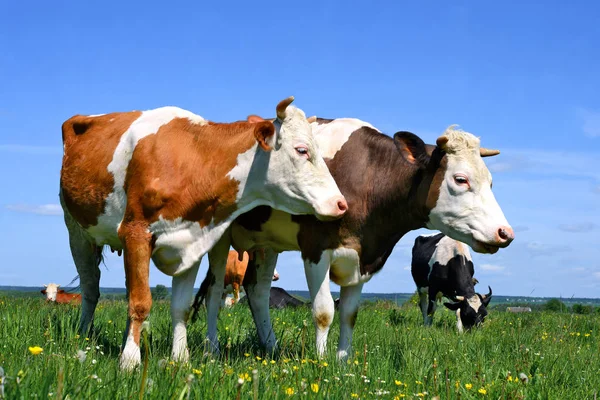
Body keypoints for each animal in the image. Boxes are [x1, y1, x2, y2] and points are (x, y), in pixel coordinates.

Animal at [58, 97, 350, 368]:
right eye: (302, 150)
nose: (341, 203)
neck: (194, 161)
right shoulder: (136, 232)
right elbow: (140, 303)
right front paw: (130, 361)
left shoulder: (192, 242)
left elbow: (181, 306)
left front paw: (180, 358)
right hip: (76, 230)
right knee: (91, 288)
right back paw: (84, 336)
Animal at [207, 117, 516, 360]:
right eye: (461, 179)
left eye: (491, 181)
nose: (506, 233)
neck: (367, 179)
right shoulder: (316, 249)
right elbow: (324, 311)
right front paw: (320, 363)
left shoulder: (363, 258)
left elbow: (349, 314)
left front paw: (343, 363)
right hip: (218, 237)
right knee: (214, 291)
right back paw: (212, 350)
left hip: (266, 242)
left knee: (258, 290)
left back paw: (270, 348)